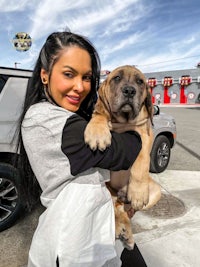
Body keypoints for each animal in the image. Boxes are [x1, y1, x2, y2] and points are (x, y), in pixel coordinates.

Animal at [84, 66, 161, 250]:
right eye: (117, 78)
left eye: (140, 81)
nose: (129, 91)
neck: (124, 123)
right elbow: (99, 115)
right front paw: (97, 133)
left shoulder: (145, 134)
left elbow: (141, 160)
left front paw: (138, 193)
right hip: (106, 188)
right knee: (116, 207)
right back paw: (122, 228)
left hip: (157, 191)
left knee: (126, 207)